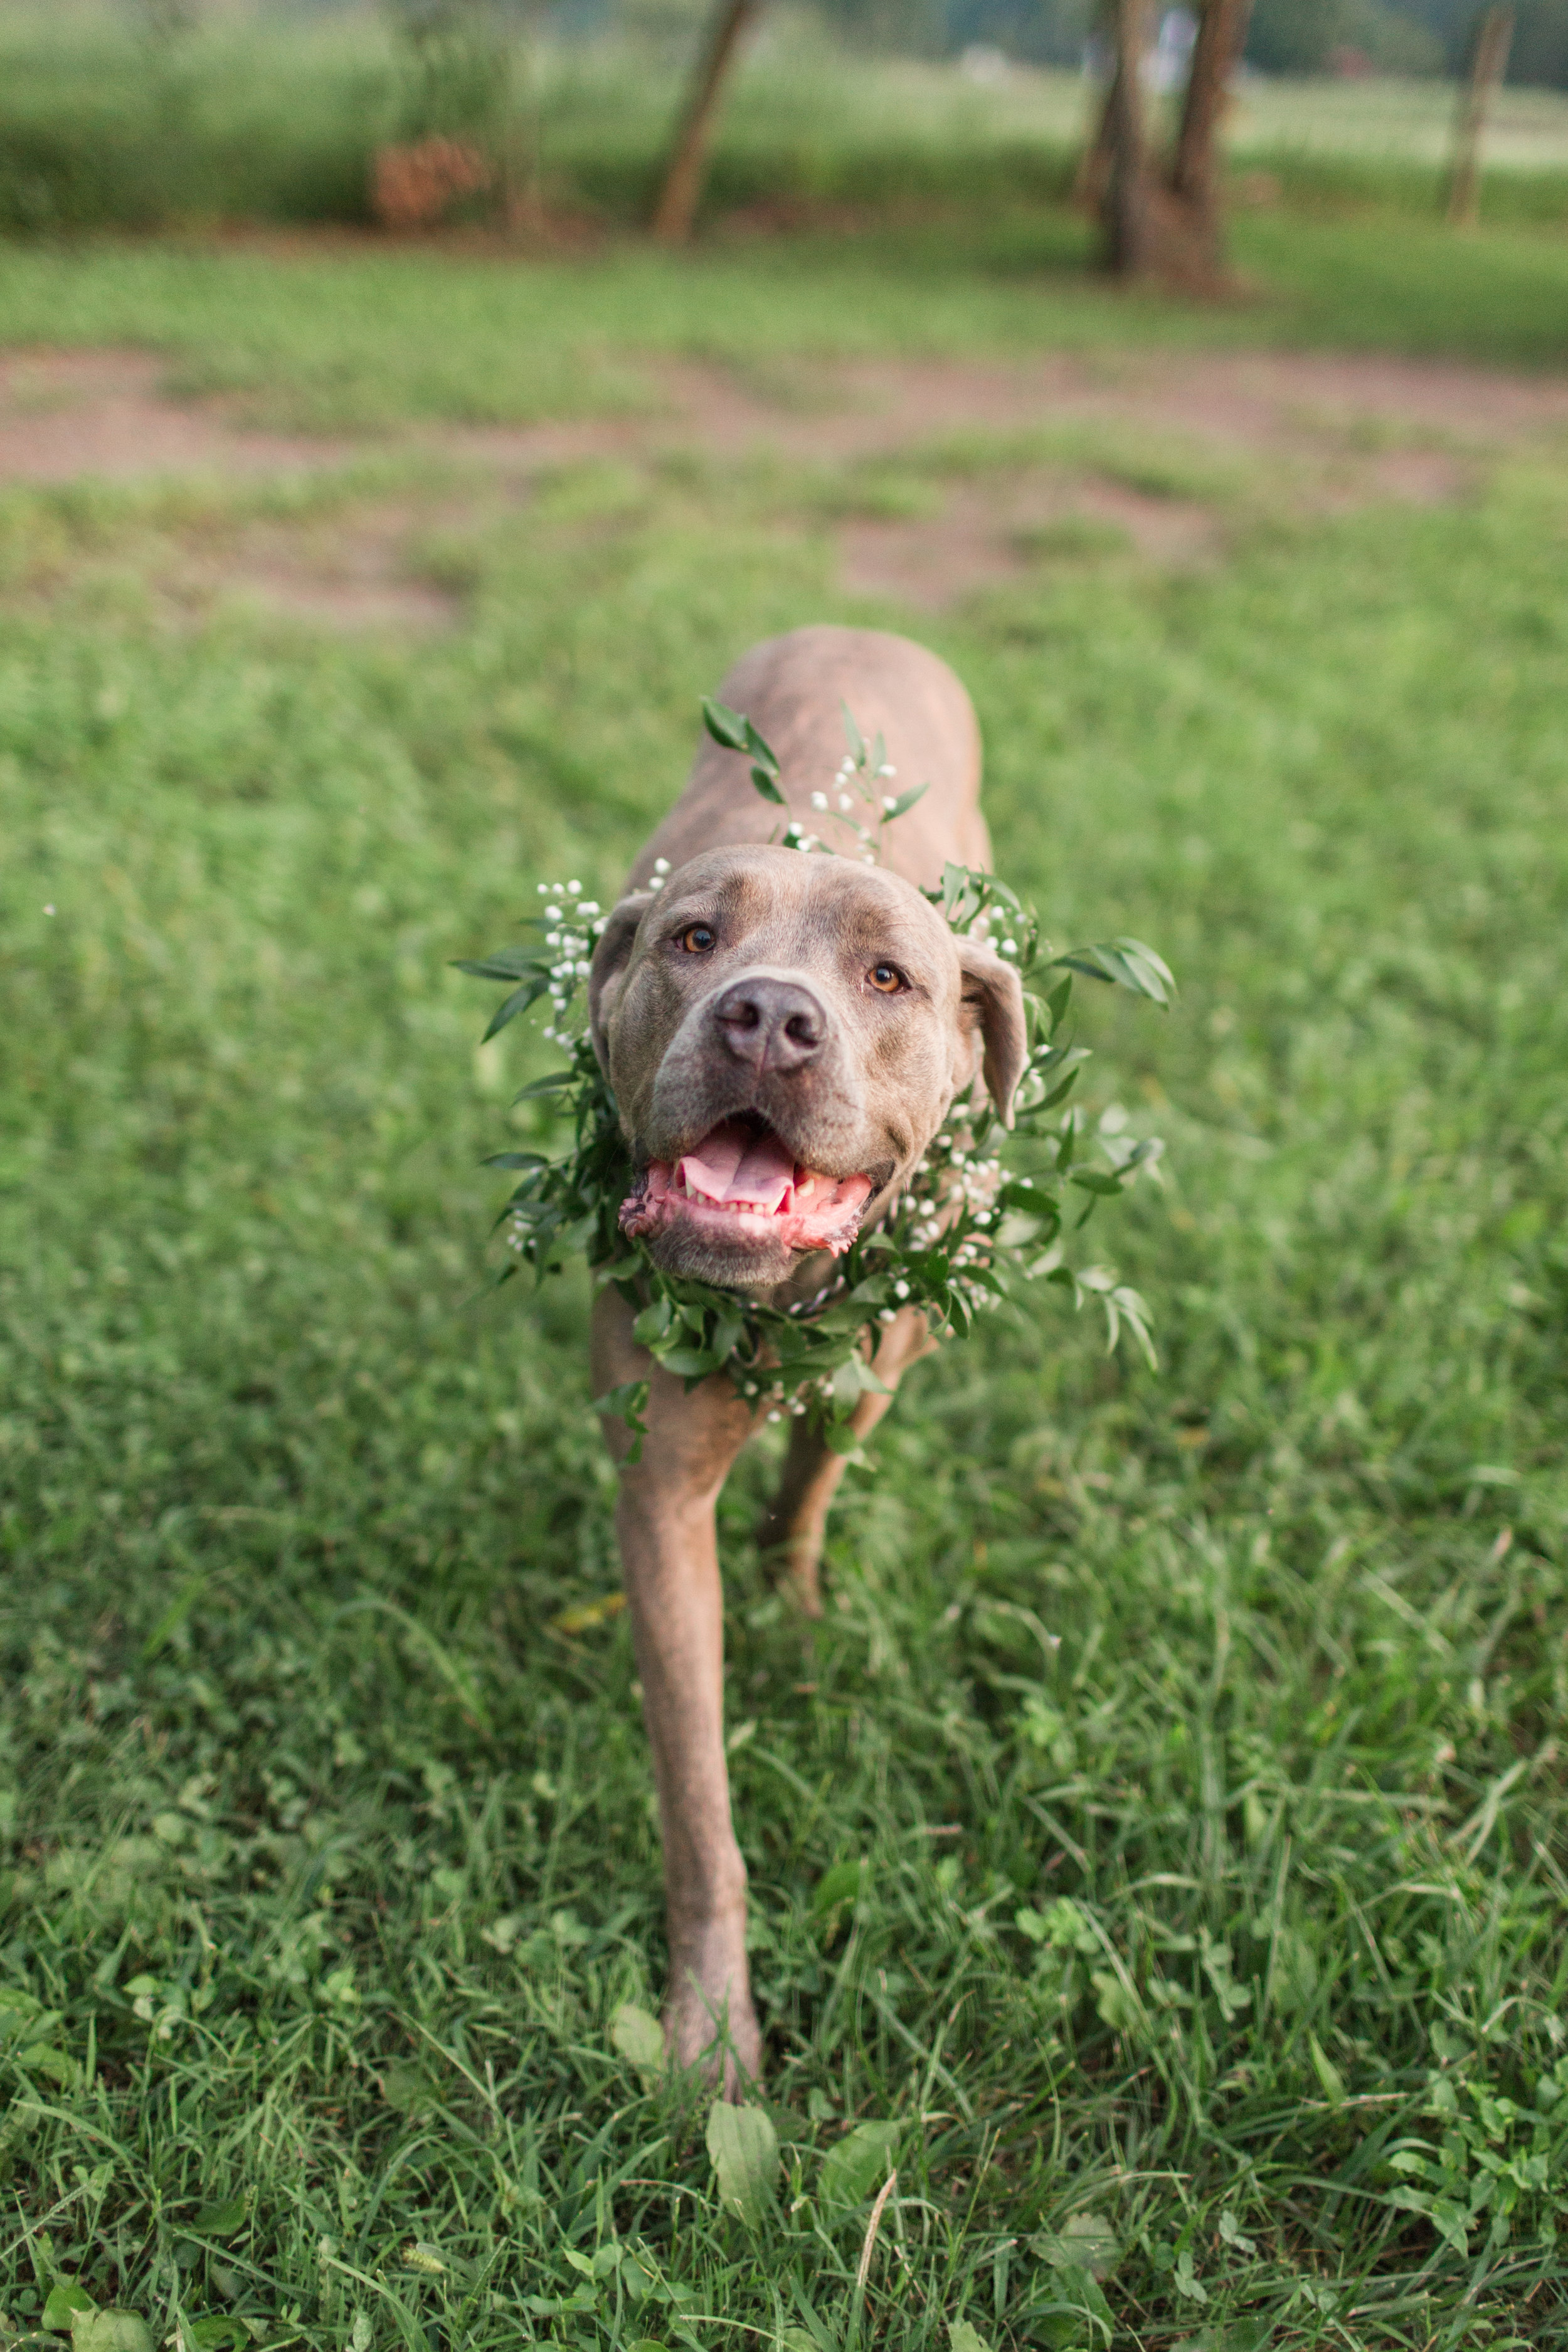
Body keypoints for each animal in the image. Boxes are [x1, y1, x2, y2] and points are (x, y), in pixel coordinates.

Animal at [583, 625, 1025, 2098]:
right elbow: (698, 1803)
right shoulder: (659, 1504)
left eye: (889, 979)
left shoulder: (877, 1365)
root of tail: (863, 629)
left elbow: (812, 1484)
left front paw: (799, 1600)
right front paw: (711, 2027)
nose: (769, 1017)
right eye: (693, 939)